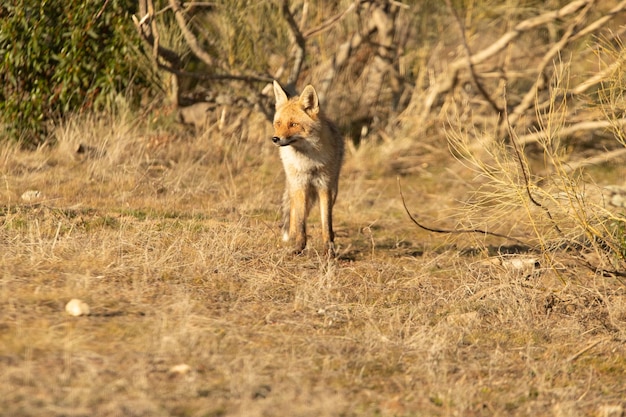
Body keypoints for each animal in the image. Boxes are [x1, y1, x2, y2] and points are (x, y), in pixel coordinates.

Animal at [270, 80, 344, 255]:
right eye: (278, 123)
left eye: (294, 124)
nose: (275, 139)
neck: (308, 163)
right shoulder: (300, 186)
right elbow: (300, 222)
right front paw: (298, 247)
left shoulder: (325, 187)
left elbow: (326, 222)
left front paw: (329, 249)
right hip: (294, 186)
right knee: (293, 212)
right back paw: (291, 236)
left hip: (334, 189)